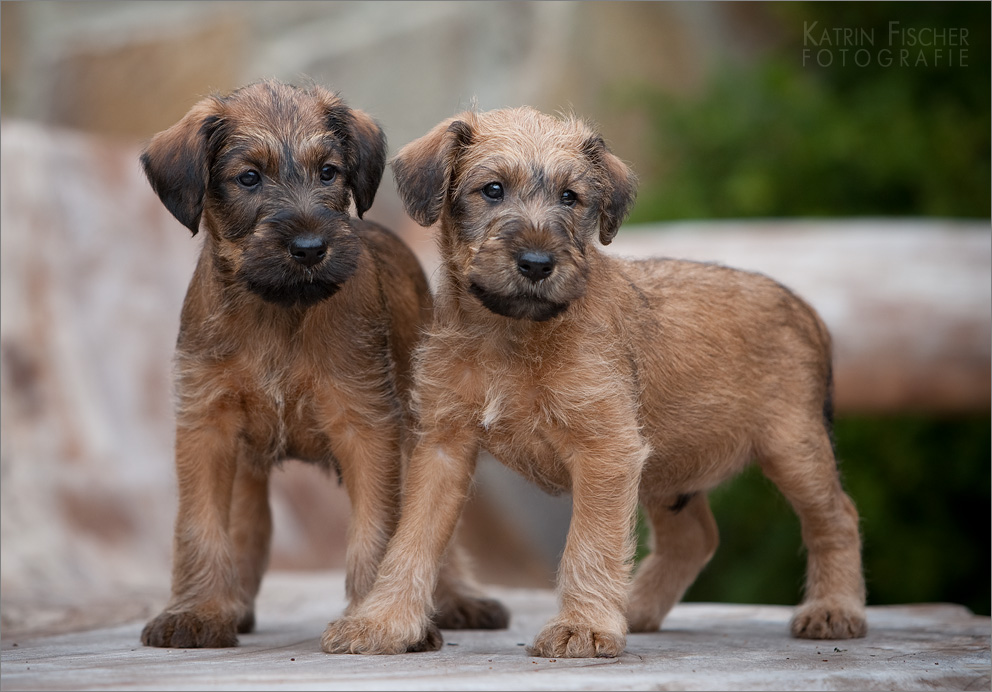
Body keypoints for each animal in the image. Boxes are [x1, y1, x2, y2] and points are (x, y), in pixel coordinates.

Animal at [140, 81, 508, 648]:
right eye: (249, 177)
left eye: (329, 172)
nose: (311, 247)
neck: (280, 310)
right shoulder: (207, 425)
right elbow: (200, 526)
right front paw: (198, 612)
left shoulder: (367, 426)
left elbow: (381, 531)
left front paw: (376, 621)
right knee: (248, 524)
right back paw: (234, 602)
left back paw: (457, 600)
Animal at [322, 105, 864, 656]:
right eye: (492, 190)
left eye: (571, 197)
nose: (538, 263)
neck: (511, 335)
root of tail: (805, 310)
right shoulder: (442, 447)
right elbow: (411, 541)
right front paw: (383, 622)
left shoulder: (606, 449)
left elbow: (589, 542)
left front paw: (582, 627)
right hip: (672, 469)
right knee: (694, 538)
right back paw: (637, 608)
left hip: (792, 448)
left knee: (836, 517)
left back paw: (834, 609)